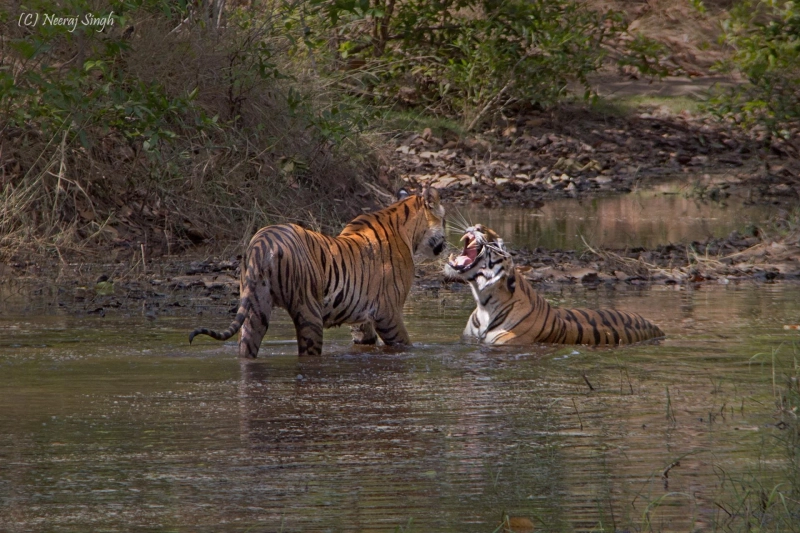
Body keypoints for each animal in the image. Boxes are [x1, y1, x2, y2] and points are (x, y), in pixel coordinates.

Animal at [190, 188, 446, 357]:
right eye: (444, 220)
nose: (445, 243)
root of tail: (263, 242)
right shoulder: (388, 312)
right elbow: (404, 343)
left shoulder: (362, 317)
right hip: (309, 311)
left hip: (256, 310)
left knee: (247, 345)